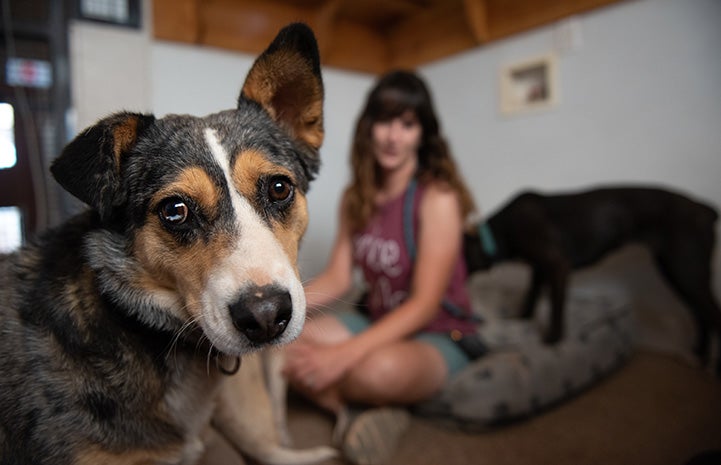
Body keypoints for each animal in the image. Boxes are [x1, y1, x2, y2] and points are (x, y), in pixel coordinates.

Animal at [464, 185, 716, 362]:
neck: (499, 230)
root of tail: (706, 208)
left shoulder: (557, 265)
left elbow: (556, 308)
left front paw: (553, 342)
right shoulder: (539, 269)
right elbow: (531, 297)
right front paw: (521, 320)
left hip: (686, 270)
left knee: (712, 313)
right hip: (677, 272)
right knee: (702, 314)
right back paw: (699, 354)